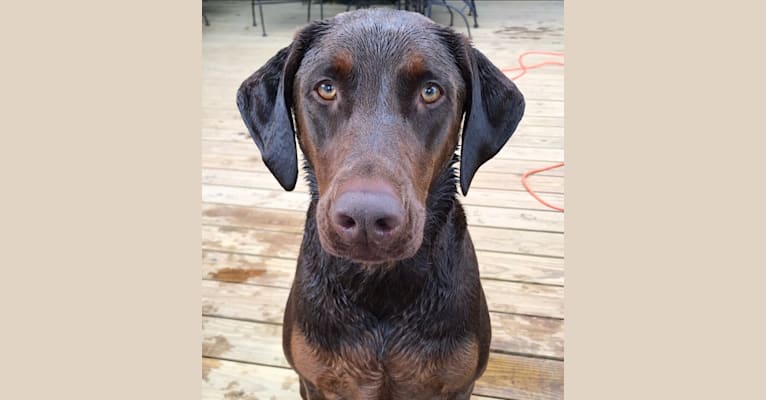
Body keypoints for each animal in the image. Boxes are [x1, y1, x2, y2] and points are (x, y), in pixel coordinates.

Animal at [237, 9, 524, 400]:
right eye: (326, 88)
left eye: (430, 91)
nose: (366, 219)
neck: (379, 285)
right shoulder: (315, 381)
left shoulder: (458, 383)